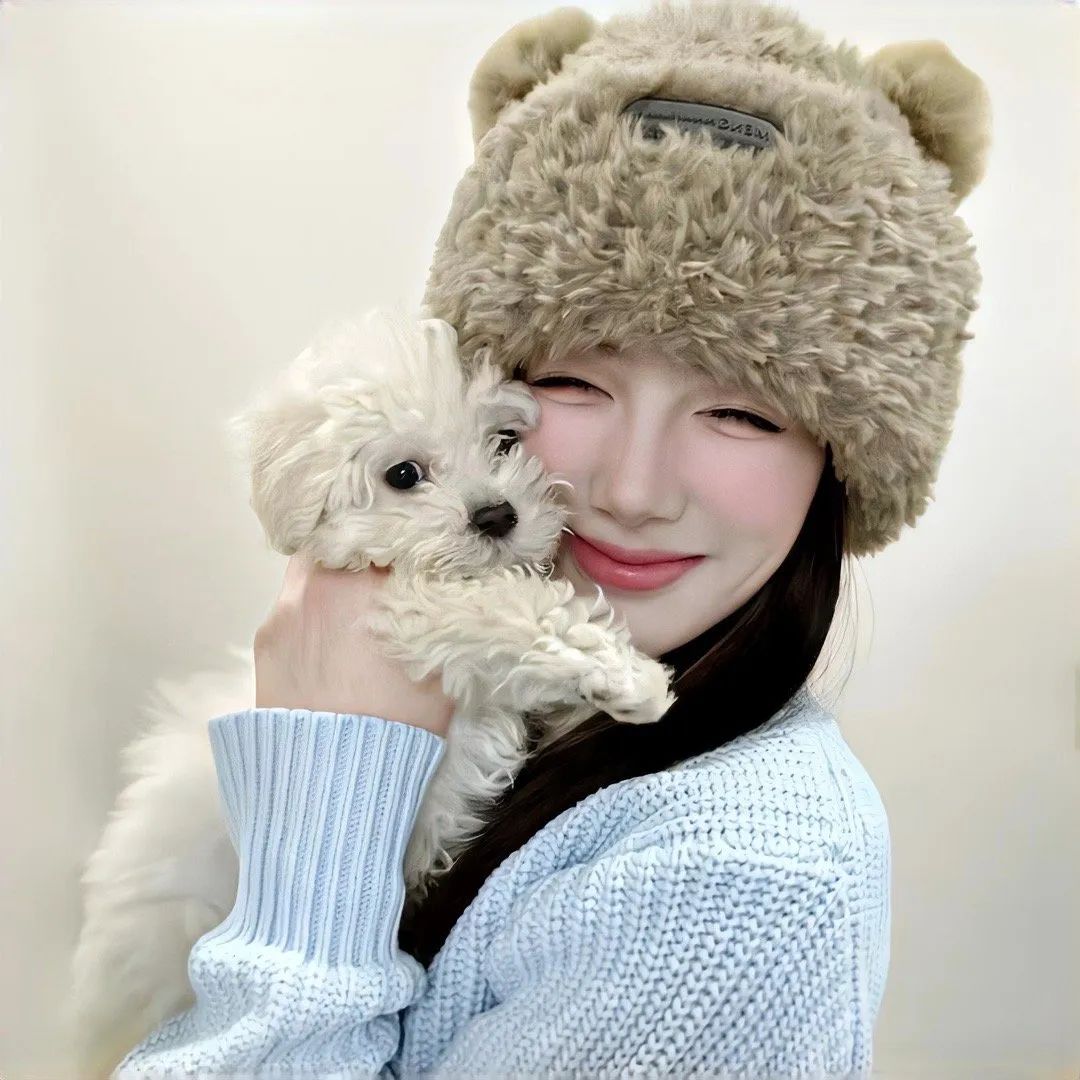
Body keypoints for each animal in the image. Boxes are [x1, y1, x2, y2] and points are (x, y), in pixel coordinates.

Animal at [66, 308, 676, 1079]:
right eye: (404, 475)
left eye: (505, 440)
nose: (496, 514)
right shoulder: (413, 616)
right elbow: (513, 611)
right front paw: (626, 677)